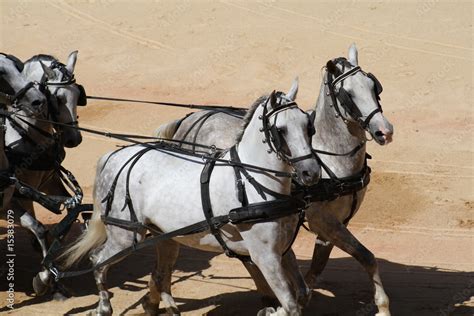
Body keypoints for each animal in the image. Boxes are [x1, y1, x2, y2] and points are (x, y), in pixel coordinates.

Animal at [63, 90, 320, 314]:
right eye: (280, 130)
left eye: (308, 125)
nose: (311, 172)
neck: (252, 181)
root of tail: (115, 156)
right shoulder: (265, 256)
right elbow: (291, 305)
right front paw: (272, 309)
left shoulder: (282, 250)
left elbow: (303, 294)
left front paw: (272, 309)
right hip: (125, 236)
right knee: (98, 261)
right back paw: (103, 307)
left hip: (163, 237)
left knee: (160, 274)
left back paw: (164, 307)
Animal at [155, 43, 392, 314]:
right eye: (348, 95)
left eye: (374, 86)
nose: (384, 131)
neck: (329, 158)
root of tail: (188, 120)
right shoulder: (322, 219)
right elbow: (364, 256)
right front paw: (382, 306)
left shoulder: (337, 222)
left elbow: (324, 265)